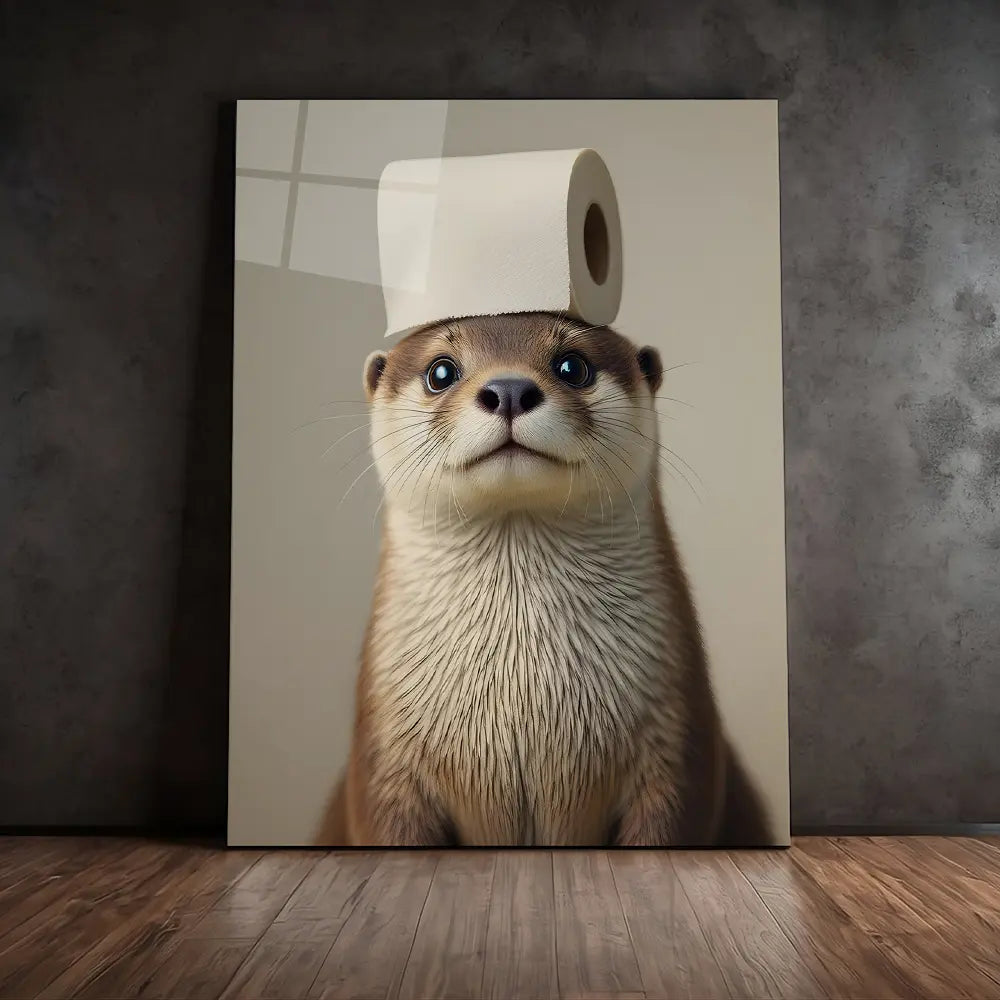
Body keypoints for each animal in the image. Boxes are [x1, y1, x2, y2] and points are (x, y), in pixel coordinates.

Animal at [315, 312, 771, 847]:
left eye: (573, 366)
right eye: (440, 372)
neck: (522, 696)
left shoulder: (680, 741)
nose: (509, 389)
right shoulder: (381, 762)